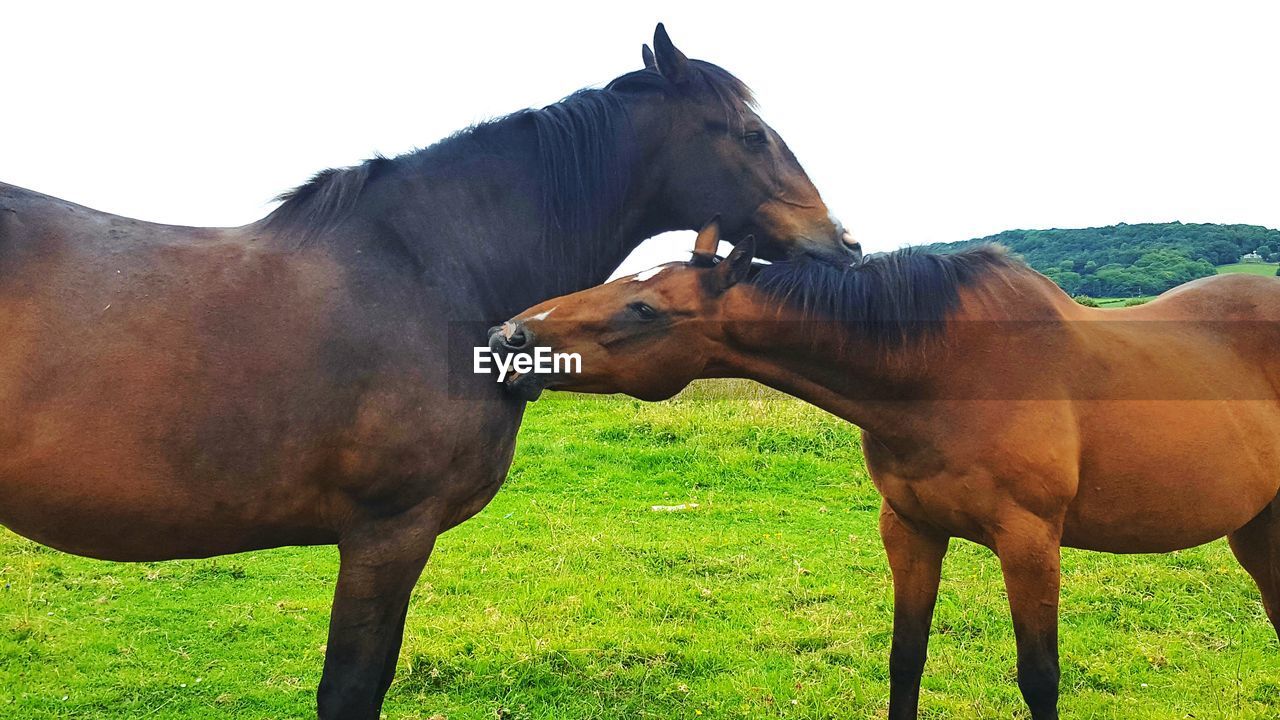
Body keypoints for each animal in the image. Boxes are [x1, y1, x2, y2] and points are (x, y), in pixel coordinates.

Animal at [494, 221, 1280, 712]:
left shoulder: (1031, 542)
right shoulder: (909, 529)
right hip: (1256, 531)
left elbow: (1039, 678)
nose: (509, 336)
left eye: (645, 309)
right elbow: (906, 659)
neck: (943, 370)